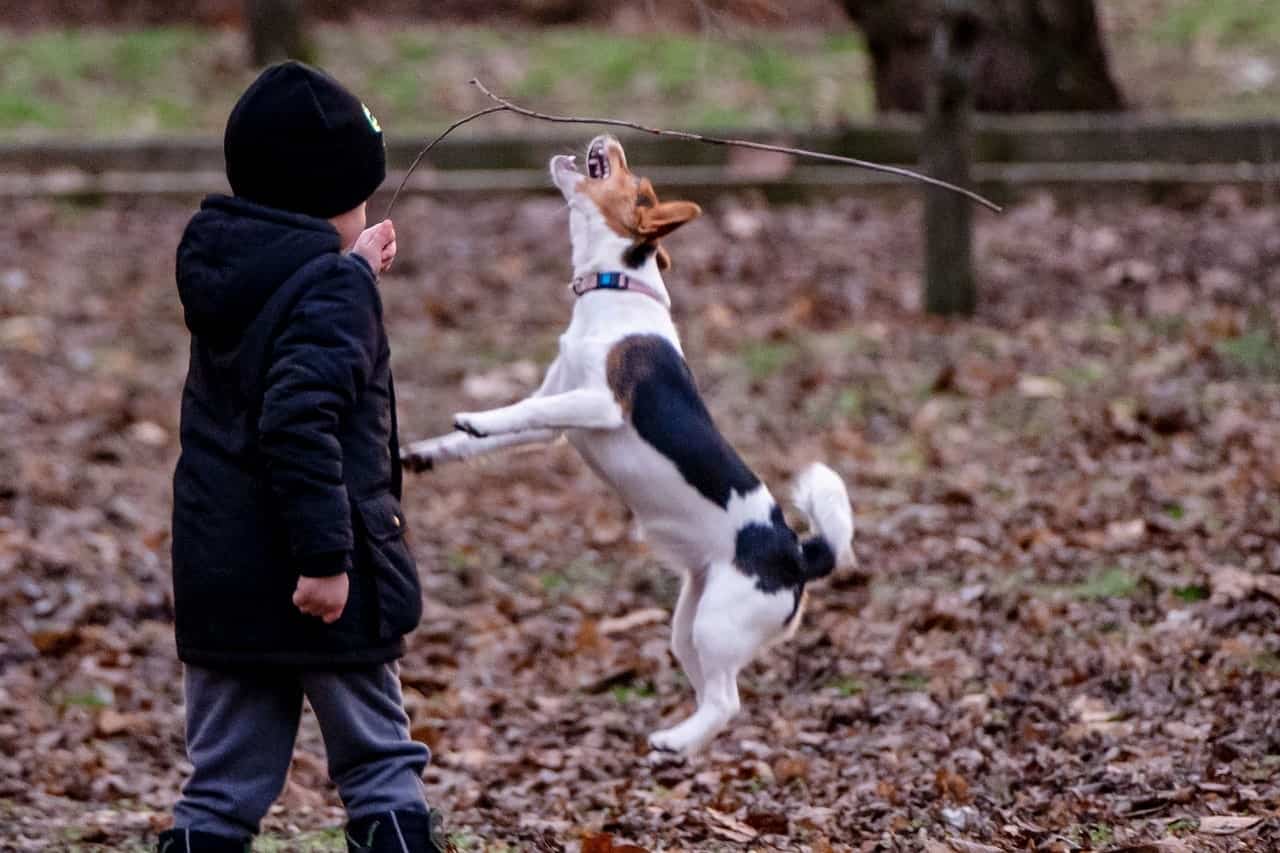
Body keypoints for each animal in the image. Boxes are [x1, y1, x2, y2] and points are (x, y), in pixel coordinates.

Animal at [404, 134, 855, 753]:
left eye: (636, 181)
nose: (608, 139)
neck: (612, 289)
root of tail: (800, 556)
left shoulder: (597, 406)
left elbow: (522, 410)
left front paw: (474, 417)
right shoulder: (557, 417)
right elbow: (501, 429)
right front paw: (432, 450)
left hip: (718, 623)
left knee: (728, 701)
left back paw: (674, 744)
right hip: (689, 623)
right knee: (710, 691)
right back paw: (682, 738)